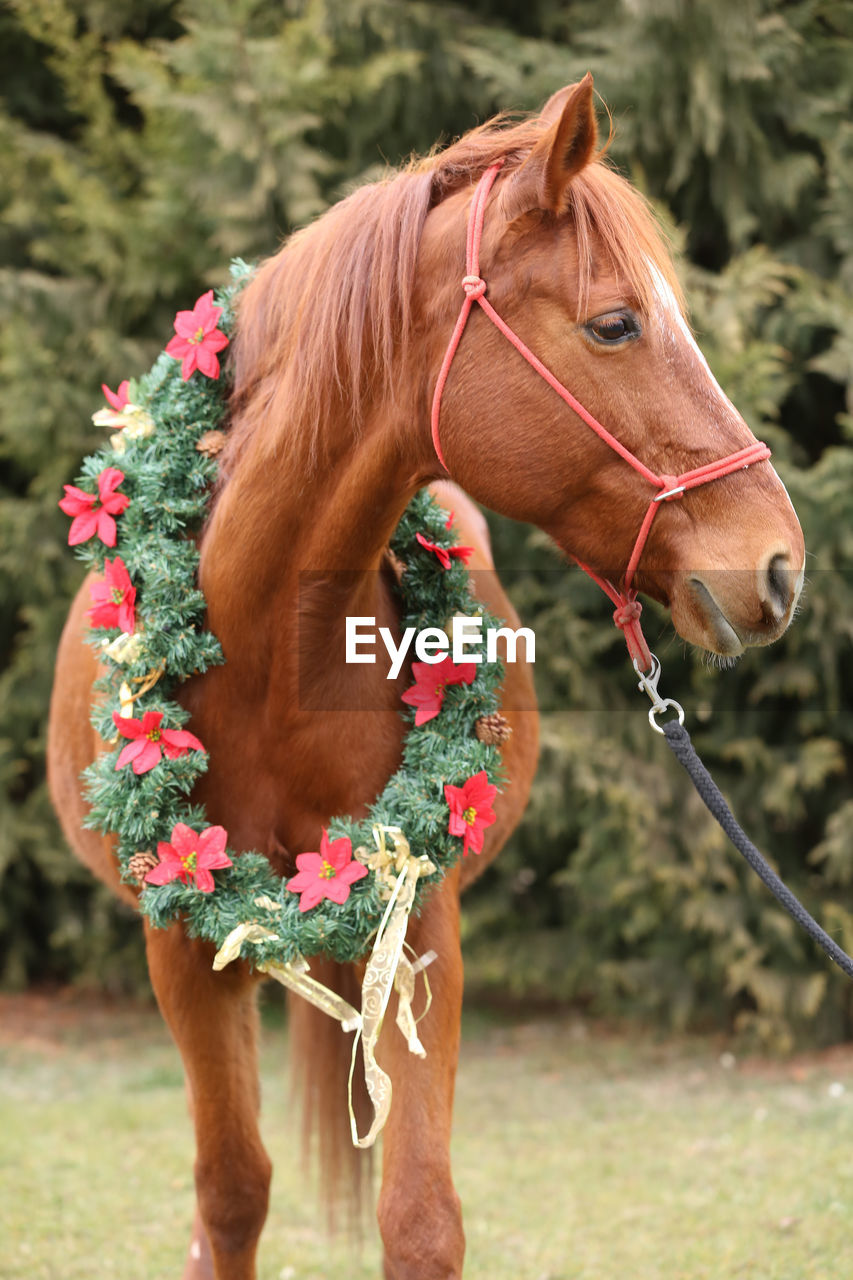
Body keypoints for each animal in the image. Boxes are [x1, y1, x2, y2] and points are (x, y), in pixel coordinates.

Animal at [46, 74, 804, 1274]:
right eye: (616, 323)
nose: (779, 563)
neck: (268, 653)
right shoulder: (179, 941)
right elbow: (230, 1193)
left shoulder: (420, 915)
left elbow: (418, 1218)